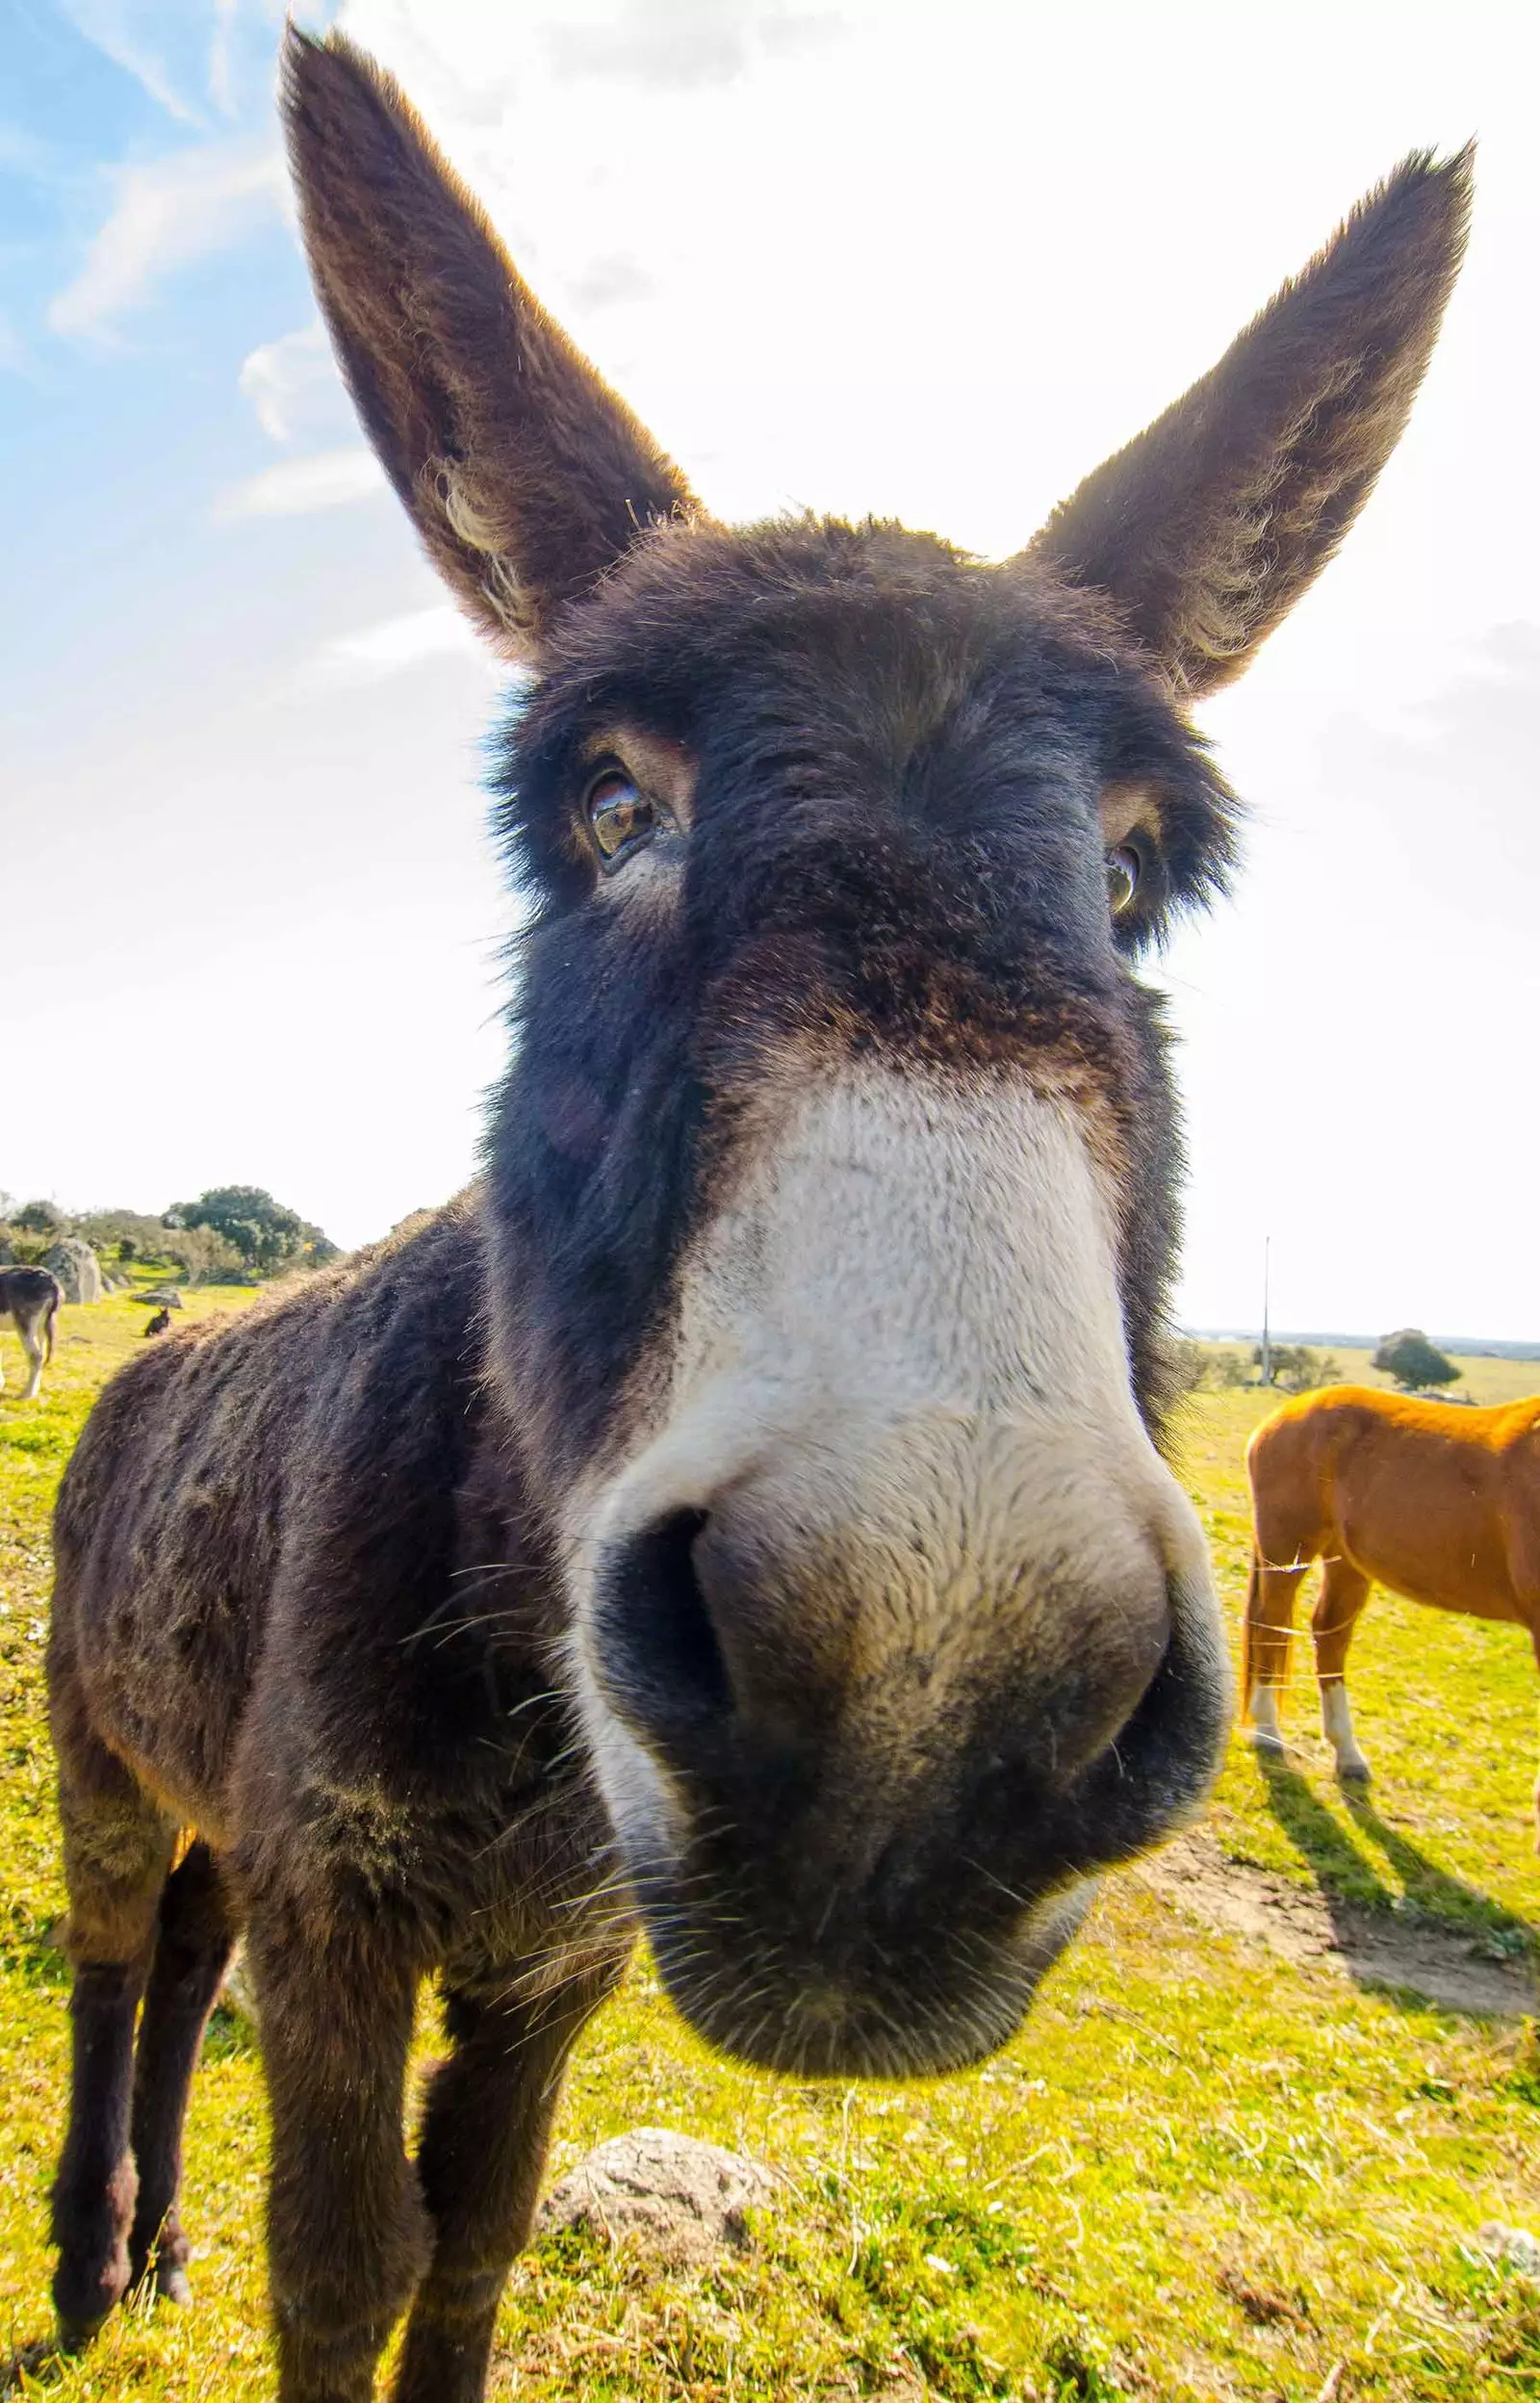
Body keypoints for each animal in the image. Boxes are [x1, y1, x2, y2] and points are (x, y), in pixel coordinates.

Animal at [44, 23, 1460, 2403]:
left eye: (1128, 875)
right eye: (610, 807)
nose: (924, 1702)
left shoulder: (555, 1957)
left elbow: (473, 2242)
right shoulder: (346, 1916)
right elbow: (340, 2270)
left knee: (182, 1948)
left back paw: (138, 2249)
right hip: (101, 1742)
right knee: (114, 1947)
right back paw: (84, 2252)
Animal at [1239, 1383, 1527, 1806]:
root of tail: (1285, 1413)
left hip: (1346, 1561)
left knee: (1328, 1634)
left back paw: (1347, 1754)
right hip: (1287, 1550)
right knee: (1270, 1627)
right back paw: (1267, 1732)